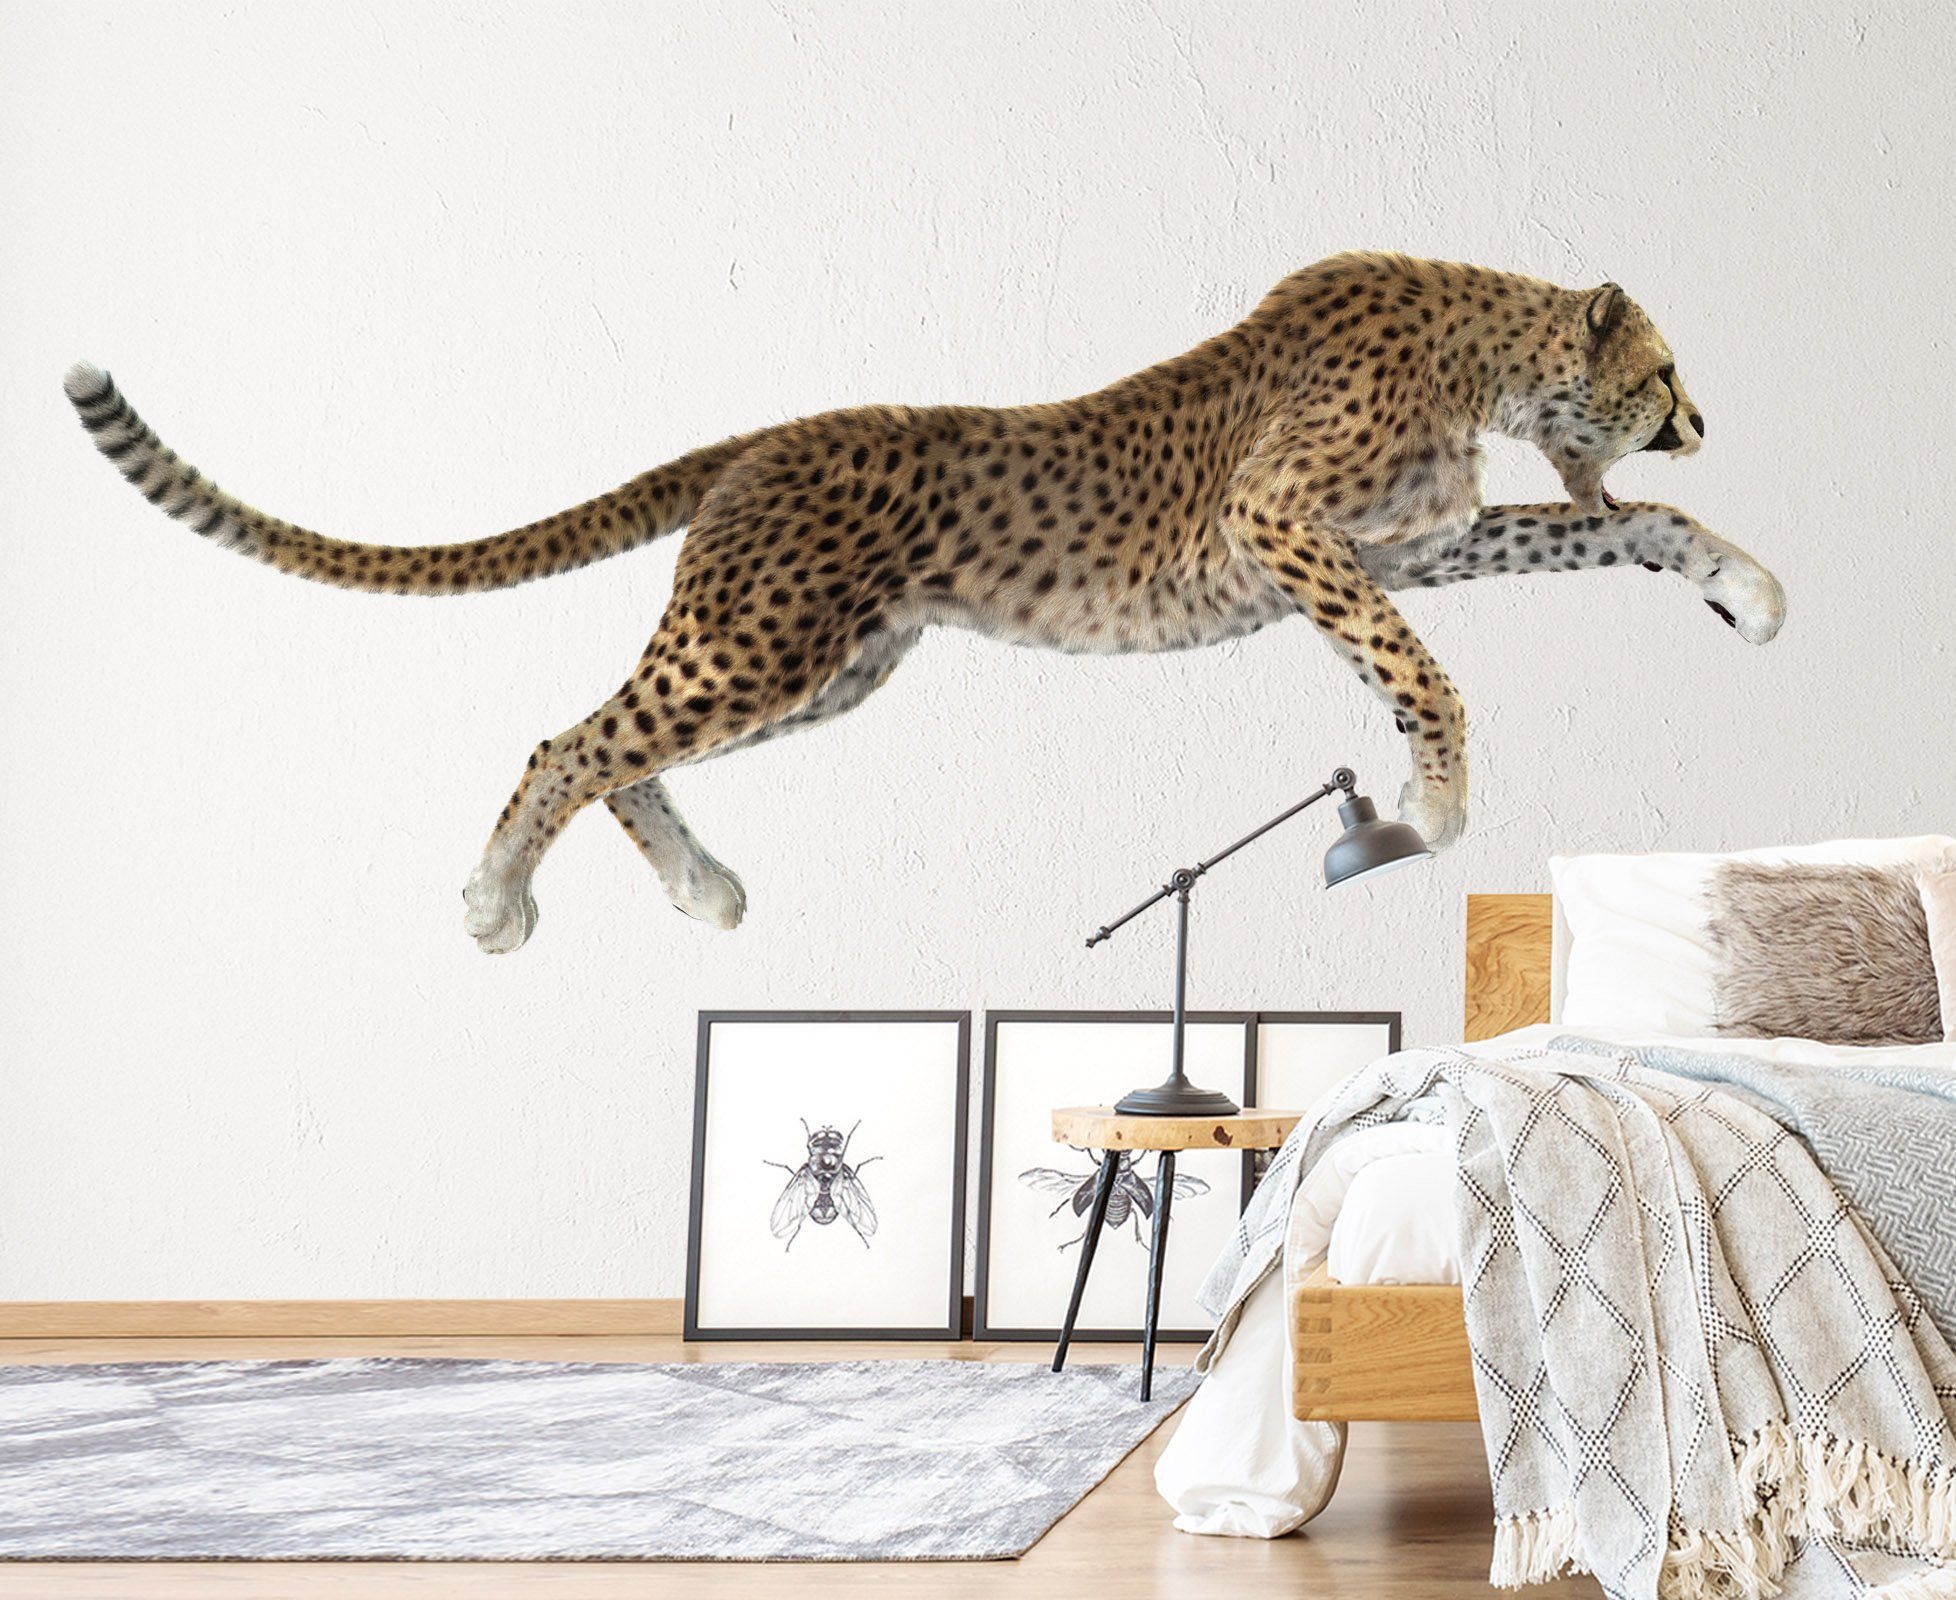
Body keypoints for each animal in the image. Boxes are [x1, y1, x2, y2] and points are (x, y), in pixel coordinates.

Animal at [65, 252, 1785, 955]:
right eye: (1669, 375)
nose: (1706, 417)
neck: (1487, 352)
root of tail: (768, 434)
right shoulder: (1290, 528)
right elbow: (1423, 671)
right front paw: (1430, 805)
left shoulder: (1407, 544)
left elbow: (1615, 535)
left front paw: (1744, 585)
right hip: (763, 647)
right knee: (571, 740)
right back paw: (495, 902)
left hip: (831, 669)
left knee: (620, 752)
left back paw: (699, 889)